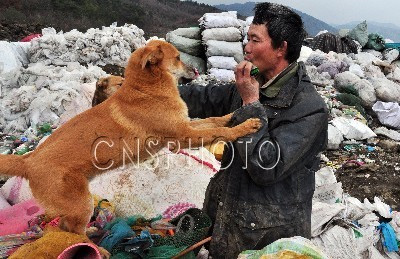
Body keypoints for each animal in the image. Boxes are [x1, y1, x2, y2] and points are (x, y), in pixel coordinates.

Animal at [0, 39, 260, 237]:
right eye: (177, 58)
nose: (196, 71)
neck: (145, 90)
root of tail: (27, 160)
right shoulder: (182, 136)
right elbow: (218, 132)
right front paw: (245, 126)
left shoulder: (186, 125)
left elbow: (215, 121)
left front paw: (235, 115)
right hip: (81, 204)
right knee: (70, 230)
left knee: (65, 227)